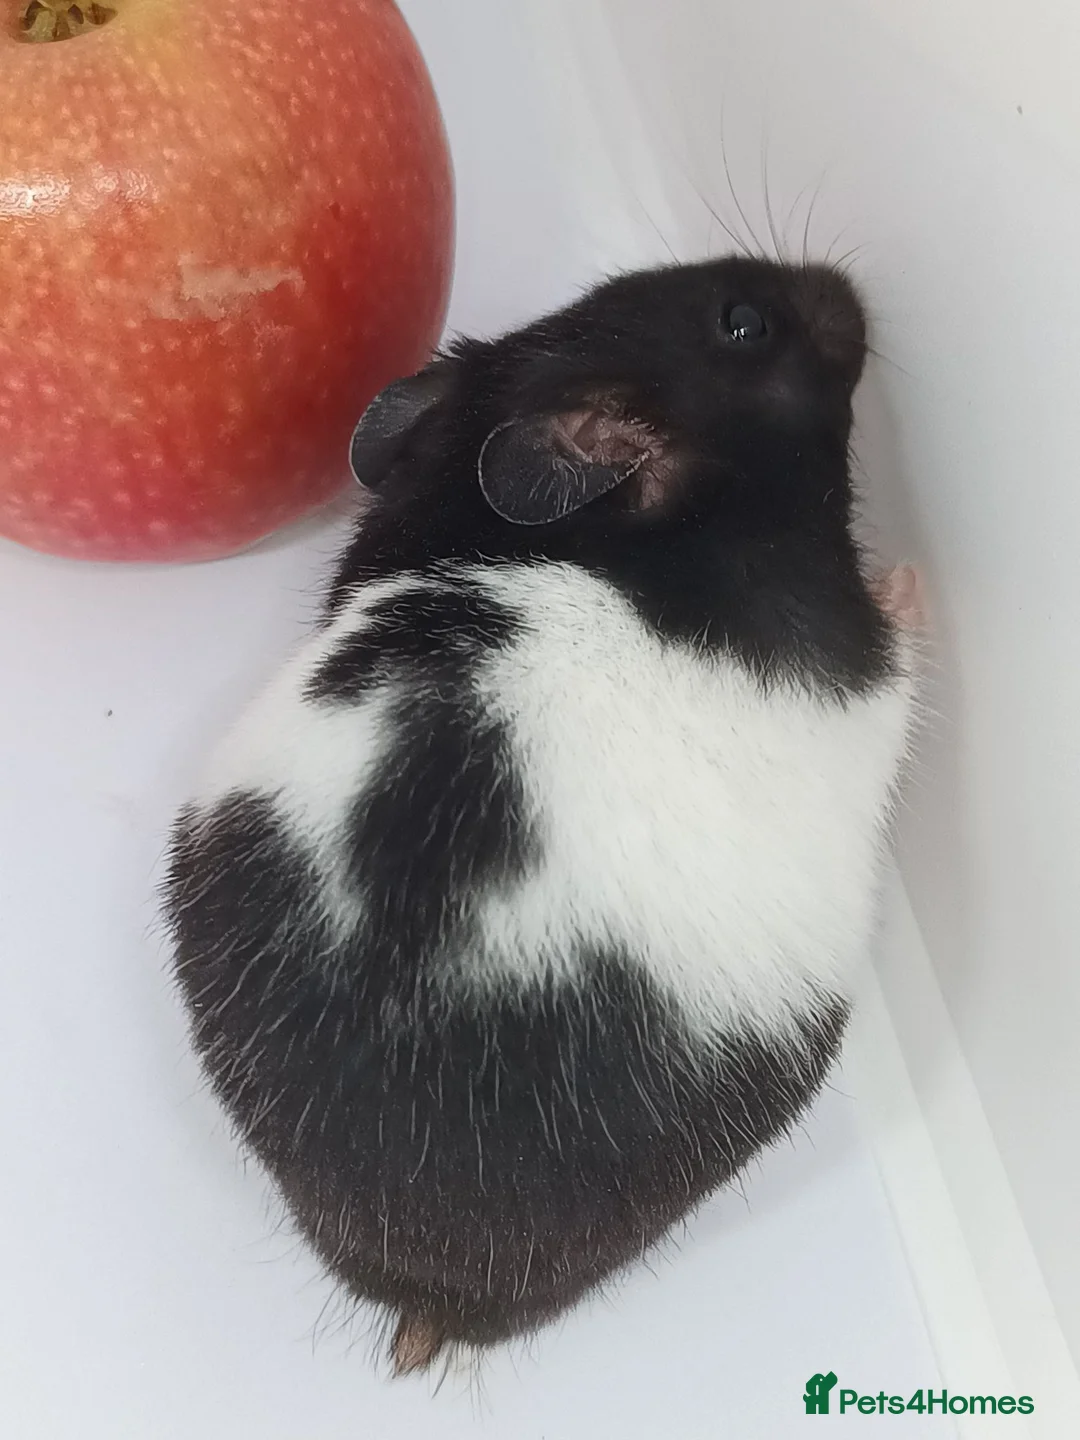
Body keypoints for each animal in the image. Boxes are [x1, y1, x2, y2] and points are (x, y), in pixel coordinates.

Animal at [163, 256, 918, 1375]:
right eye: (744, 323)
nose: (846, 279)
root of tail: (415, 1280)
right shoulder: (848, 649)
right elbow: (906, 652)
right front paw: (918, 575)